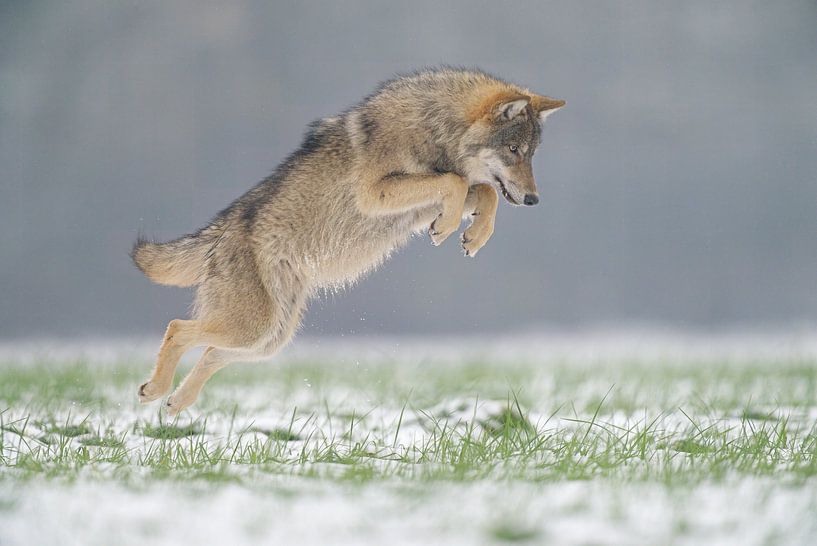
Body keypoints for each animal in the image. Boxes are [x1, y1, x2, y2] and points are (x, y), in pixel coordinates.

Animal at [132, 67, 565, 415]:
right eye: (513, 150)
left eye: (531, 155)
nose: (534, 199)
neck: (434, 127)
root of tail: (220, 231)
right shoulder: (375, 194)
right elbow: (457, 182)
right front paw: (448, 226)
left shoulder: (422, 201)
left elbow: (483, 191)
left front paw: (472, 235)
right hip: (253, 328)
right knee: (177, 328)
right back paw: (155, 390)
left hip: (268, 339)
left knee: (208, 353)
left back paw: (175, 402)